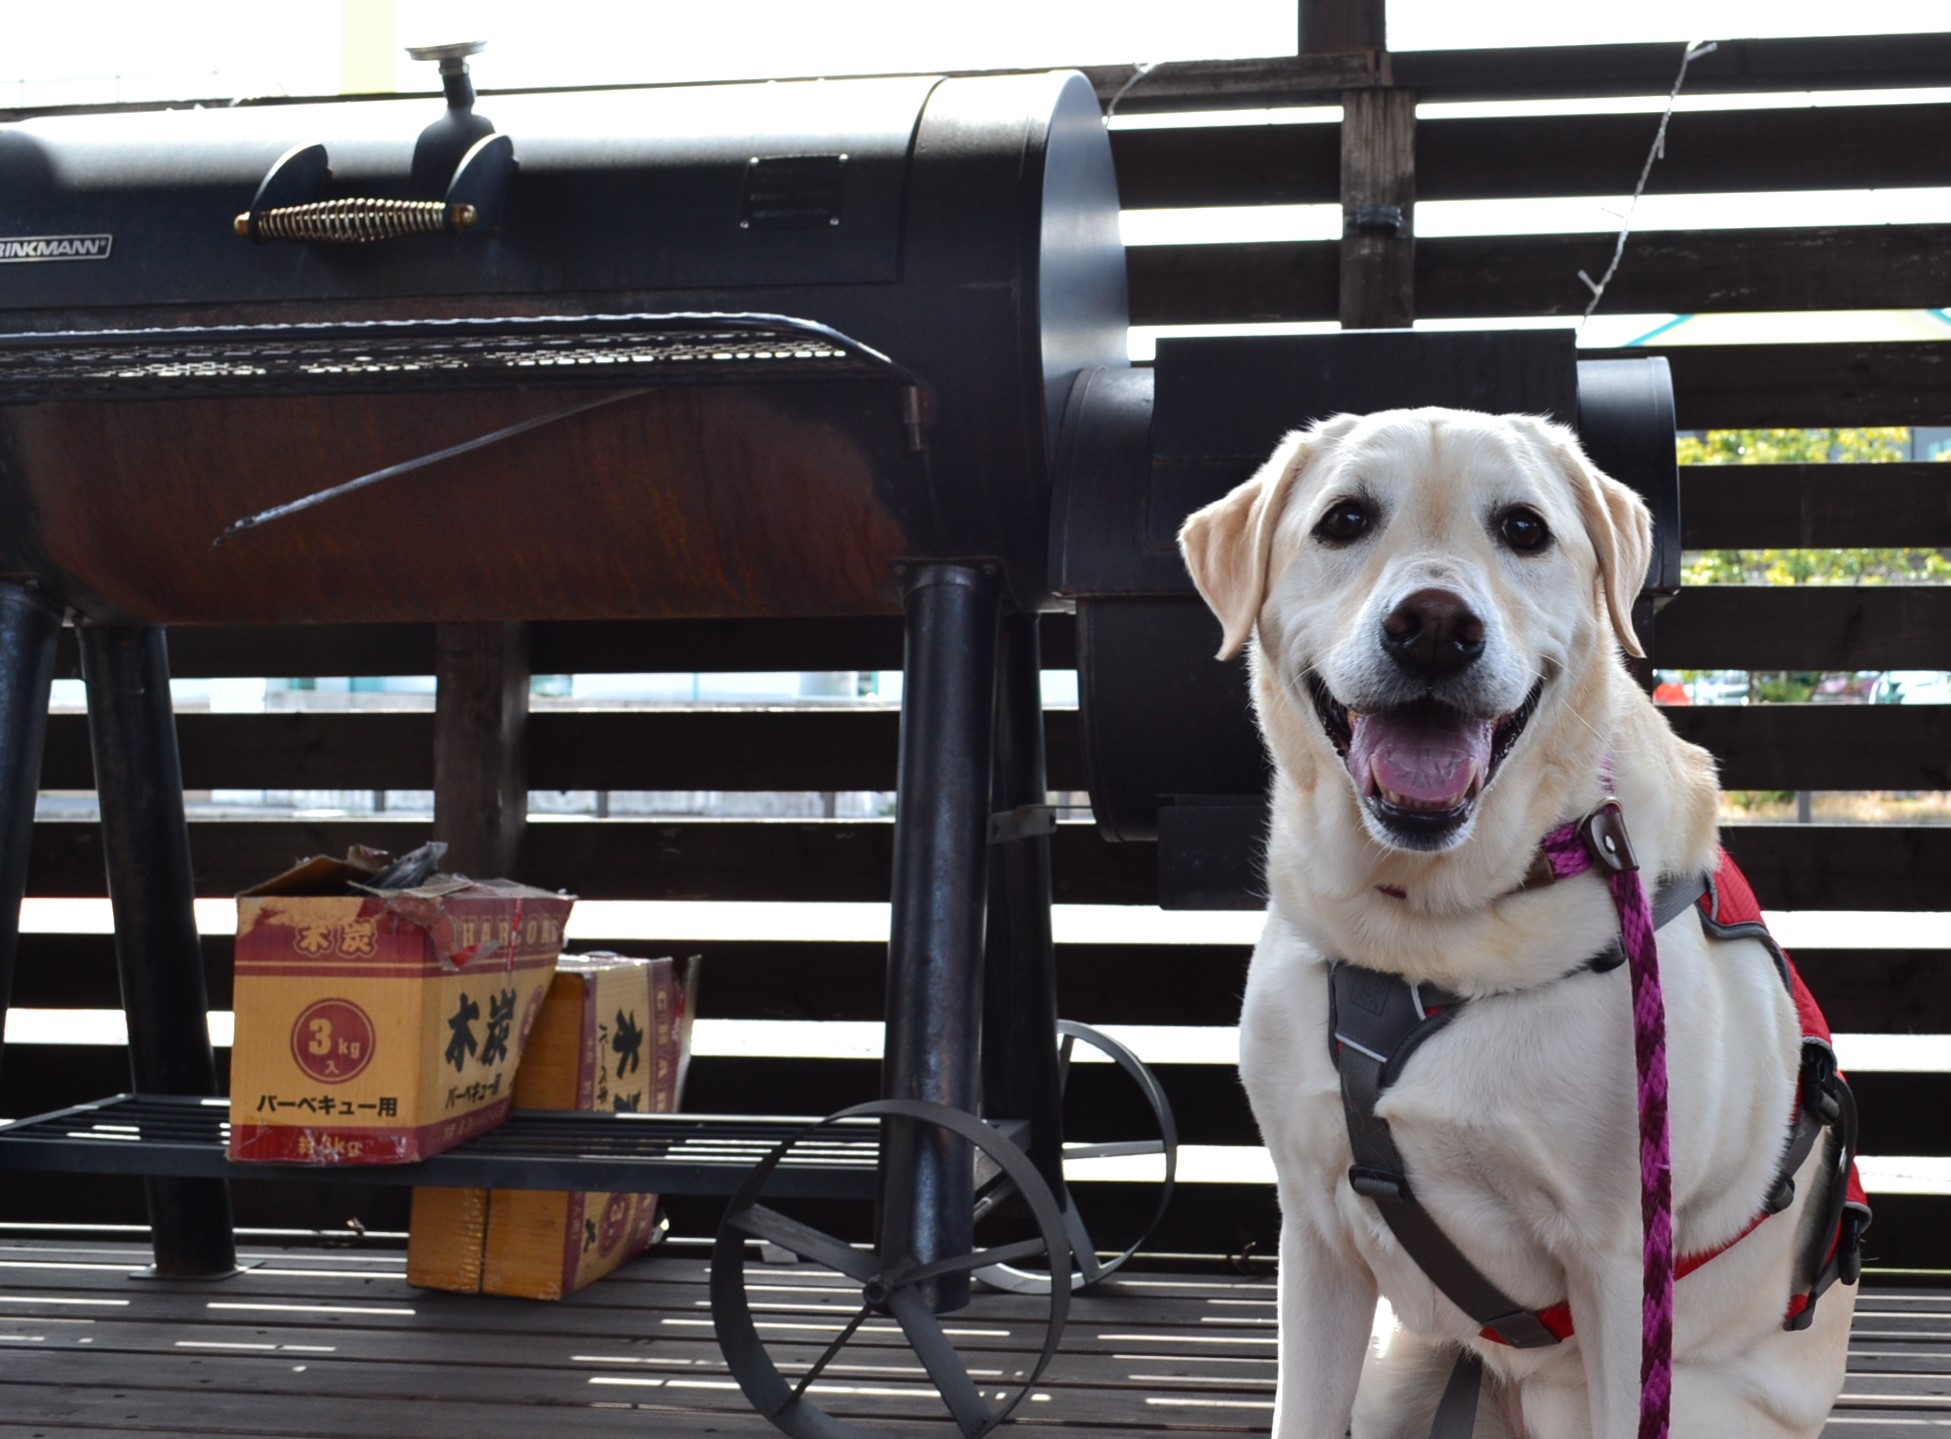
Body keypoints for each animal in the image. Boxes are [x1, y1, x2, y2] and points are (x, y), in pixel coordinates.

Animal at [1170, 409, 1857, 1435]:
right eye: (1344, 519)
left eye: (1524, 530)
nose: (1433, 627)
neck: (1425, 925)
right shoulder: (1316, 1230)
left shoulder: (1618, 1266)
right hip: (1397, 1373)